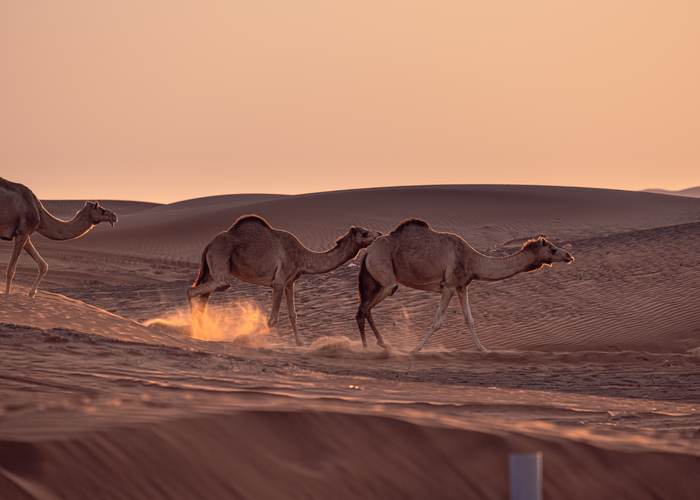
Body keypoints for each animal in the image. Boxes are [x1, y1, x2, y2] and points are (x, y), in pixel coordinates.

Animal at [188, 214, 381, 345]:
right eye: (364, 233)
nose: (378, 233)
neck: (301, 257)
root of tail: (209, 245)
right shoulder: (279, 282)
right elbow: (273, 319)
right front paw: (248, 338)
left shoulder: (289, 282)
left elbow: (293, 314)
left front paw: (300, 343)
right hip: (220, 260)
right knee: (194, 290)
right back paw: (191, 328)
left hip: (210, 269)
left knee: (204, 298)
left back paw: (201, 331)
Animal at [356, 219, 574, 352]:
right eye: (552, 249)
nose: (569, 256)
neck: (472, 260)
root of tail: (367, 252)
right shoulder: (449, 285)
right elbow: (437, 321)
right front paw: (415, 349)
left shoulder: (462, 286)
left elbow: (470, 320)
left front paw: (483, 349)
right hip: (385, 276)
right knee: (366, 307)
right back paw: (377, 346)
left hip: (374, 279)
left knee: (363, 309)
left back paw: (375, 345)